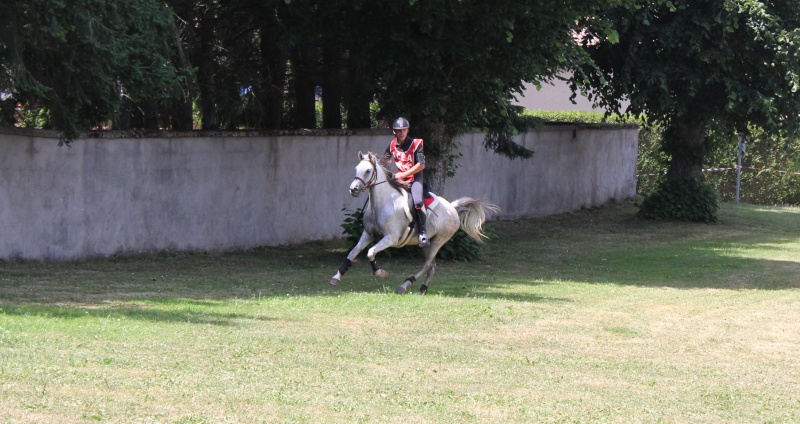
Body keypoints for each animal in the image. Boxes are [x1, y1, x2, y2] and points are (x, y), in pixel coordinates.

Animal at [330, 152, 494, 294]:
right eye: (356, 168)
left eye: (368, 170)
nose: (353, 189)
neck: (383, 203)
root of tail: (452, 208)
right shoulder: (368, 234)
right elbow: (352, 253)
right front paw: (336, 277)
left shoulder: (391, 238)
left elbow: (370, 253)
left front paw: (382, 273)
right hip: (427, 244)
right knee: (432, 265)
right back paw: (422, 289)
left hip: (439, 240)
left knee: (427, 264)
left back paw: (405, 285)